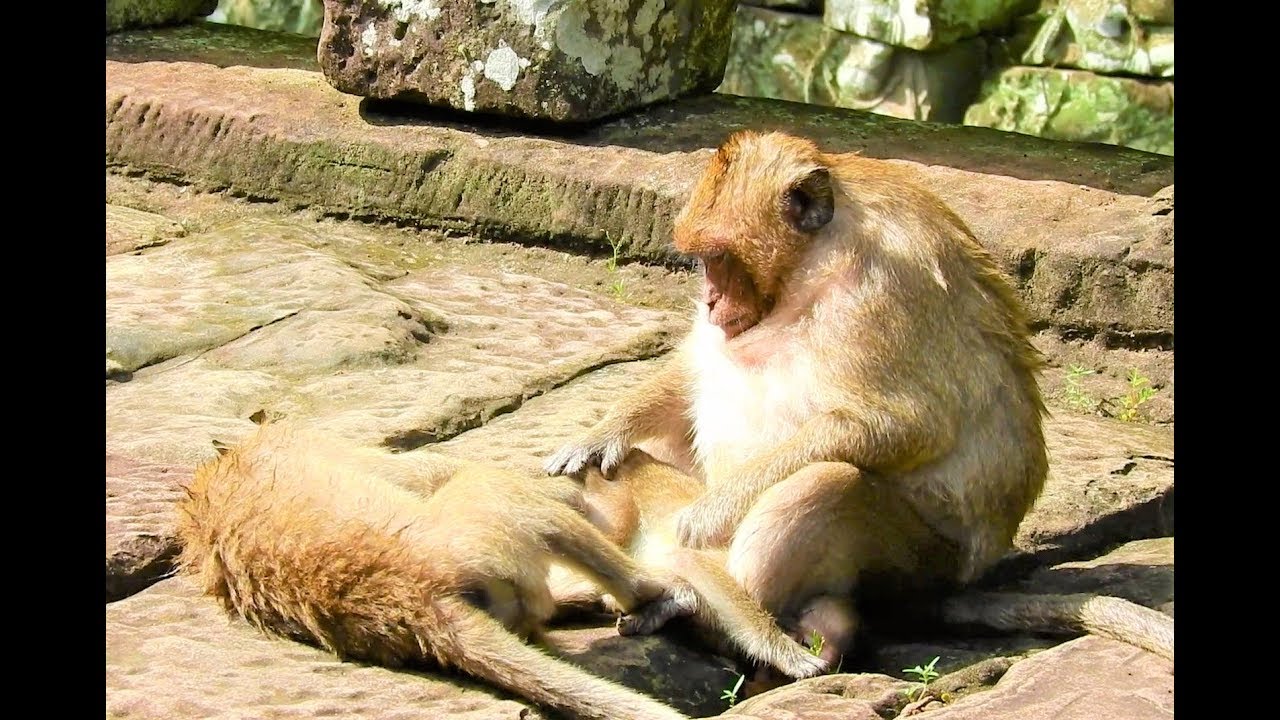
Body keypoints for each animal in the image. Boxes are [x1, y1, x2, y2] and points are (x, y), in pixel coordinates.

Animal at [545, 130, 1174, 672]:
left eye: (718, 257)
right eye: (702, 259)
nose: (711, 299)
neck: (814, 261)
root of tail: (951, 588)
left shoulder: (880, 289)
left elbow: (905, 426)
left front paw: (709, 512)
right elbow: (696, 368)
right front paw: (601, 434)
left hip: (912, 562)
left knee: (826, 483)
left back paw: (697, 602)